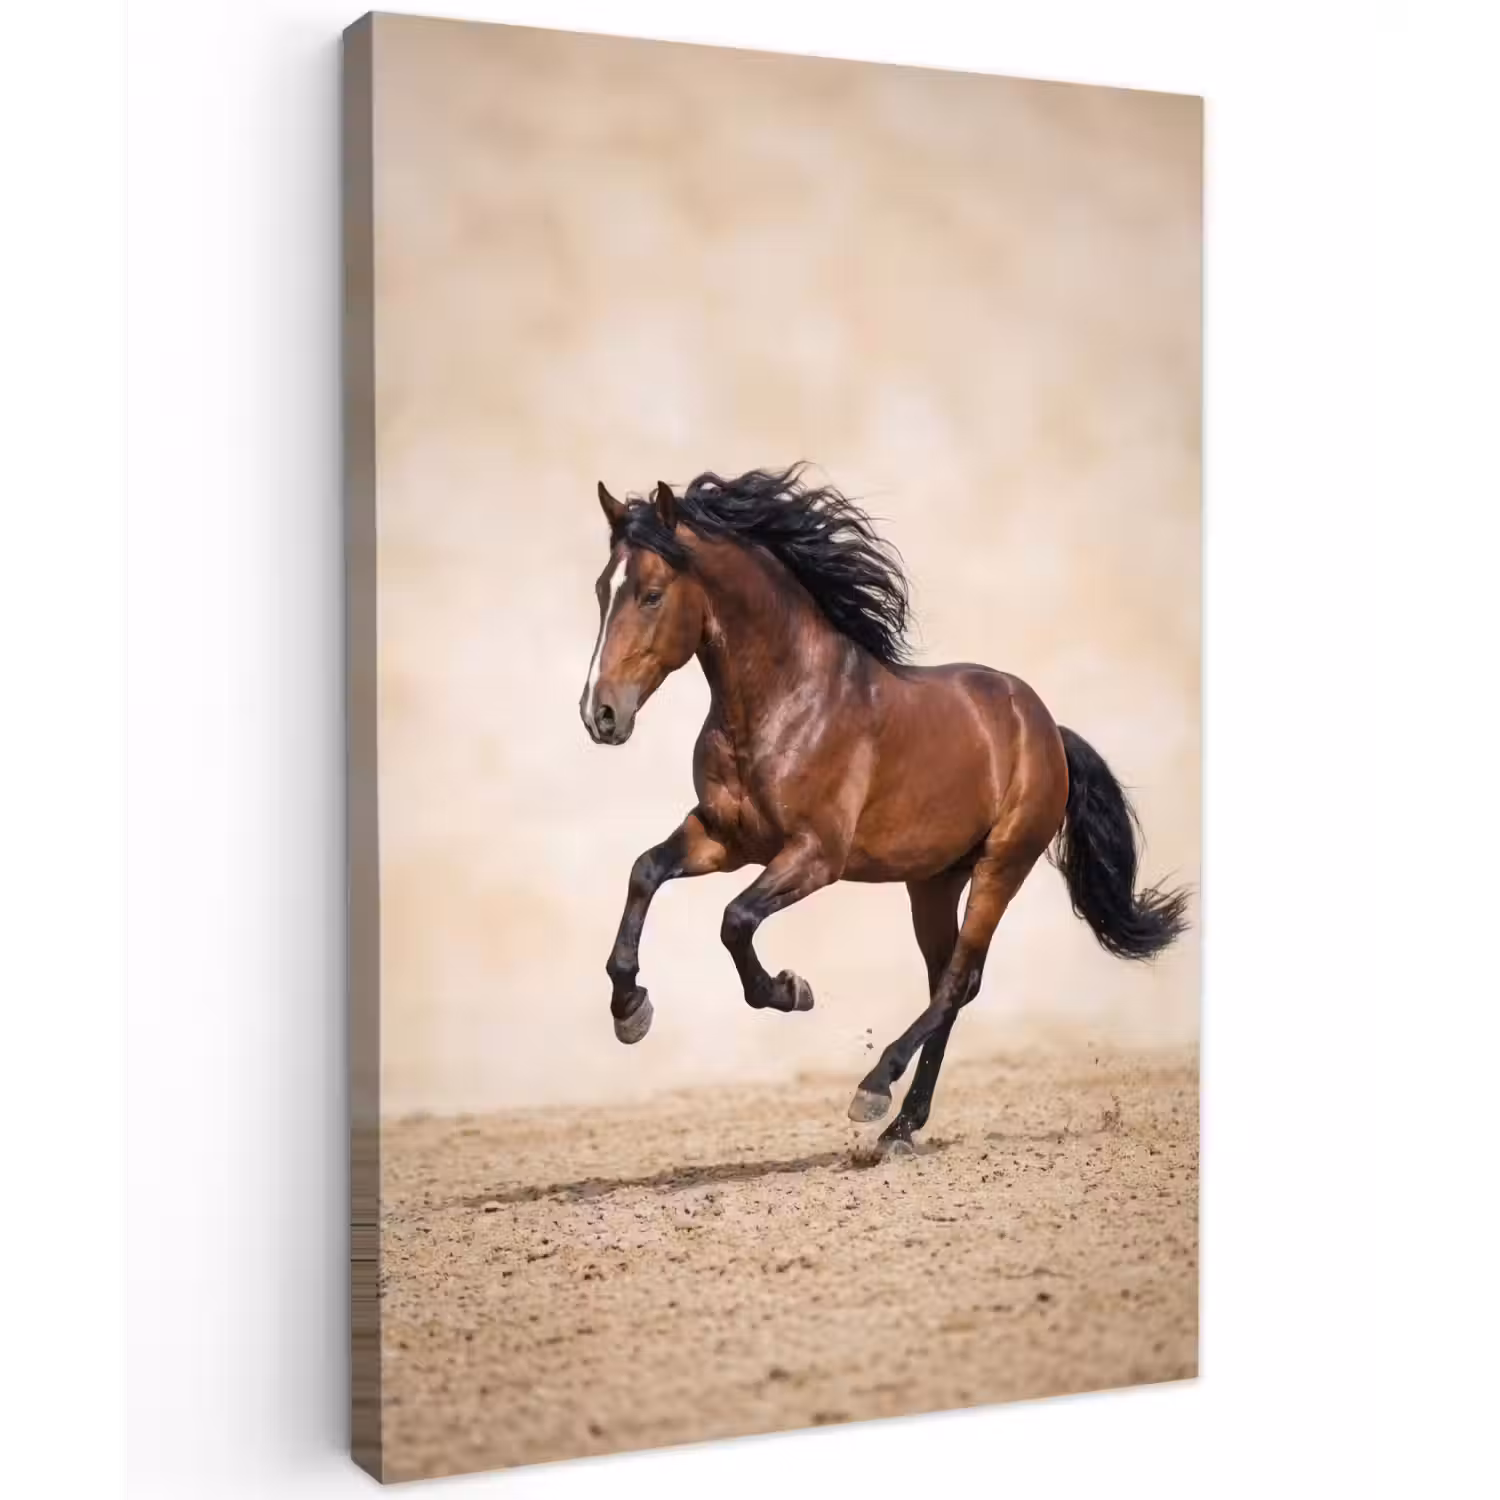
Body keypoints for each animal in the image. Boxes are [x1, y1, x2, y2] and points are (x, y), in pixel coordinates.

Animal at [579, 465, 1189, 1154]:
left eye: (652, 594)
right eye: (602, 590)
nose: (600, 715)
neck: (786, 701)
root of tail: (1046, 728)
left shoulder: (815, 856)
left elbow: (735, 920)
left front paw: (790, 991)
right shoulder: (724, 838)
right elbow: (645, 872)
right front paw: (631, 1011)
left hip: (1002, 865)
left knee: (957, 980)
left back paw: (875, 1092)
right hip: (933, 880)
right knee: (951, 980)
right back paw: (902, 1124)